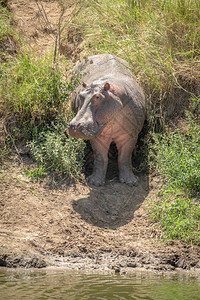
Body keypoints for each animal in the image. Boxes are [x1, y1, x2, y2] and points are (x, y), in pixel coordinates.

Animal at [67, 53, 145, 185]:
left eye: (98, 97)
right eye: (81, 95)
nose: (73, 126)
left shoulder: (130, 135)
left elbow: (125, 157)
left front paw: (130, 181)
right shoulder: (97, 137)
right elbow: (100, 157)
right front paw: (95, 182)